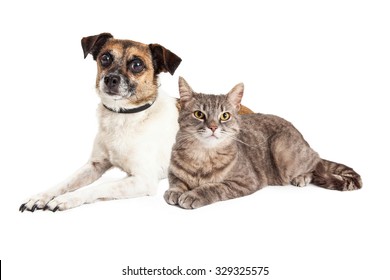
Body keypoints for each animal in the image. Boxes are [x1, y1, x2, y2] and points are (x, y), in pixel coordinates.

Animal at [21, 32, 184, 211]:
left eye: (137, 64)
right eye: (105, 58)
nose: (111, 79)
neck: (122, 116)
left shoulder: (143, 179)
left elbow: (99, 187)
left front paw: (66, 198)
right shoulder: (94, 165)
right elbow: (65, 182)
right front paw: (41, 196)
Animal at [163, 77, 362, 209]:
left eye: (225, 116)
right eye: (199, 114)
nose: (213, 127)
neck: (202, 155)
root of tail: (300, 136)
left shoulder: (244, 181)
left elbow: (214, 187)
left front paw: (194, 194)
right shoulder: (172, 172)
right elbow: (177, 181)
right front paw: (175, 191)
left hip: (283, 149)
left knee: (315, 161)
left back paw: (302, 176)